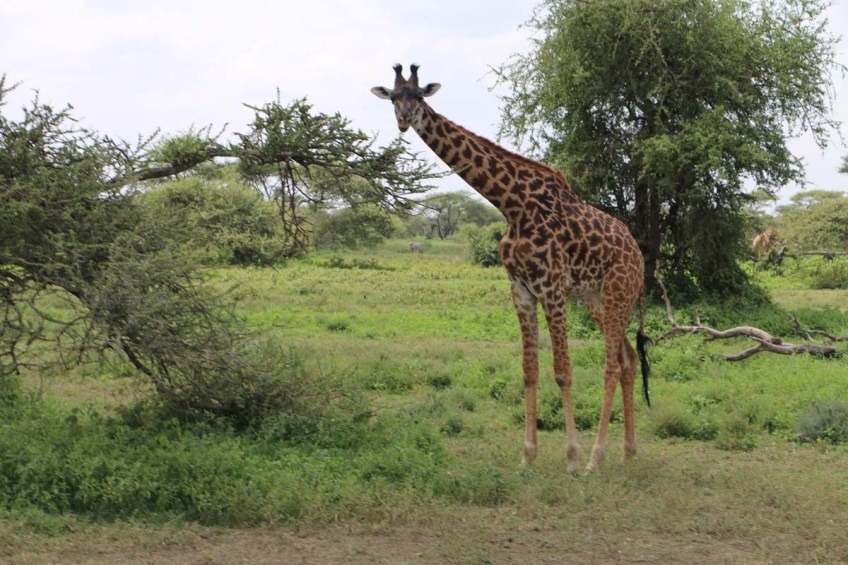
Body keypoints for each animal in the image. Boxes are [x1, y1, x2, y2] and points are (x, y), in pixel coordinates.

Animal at [372, 64, 650, 472]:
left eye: (419, 96)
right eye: (394, 97)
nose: (404, 120)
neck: (511, 204)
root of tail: (639, 255)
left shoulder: (551, 287)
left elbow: (563, 372)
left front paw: (571, 457)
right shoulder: (521, 289)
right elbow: (529, 371)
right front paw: (527, 455)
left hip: (617, 293)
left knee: (612, 365)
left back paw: (595, 458)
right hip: (596, 300)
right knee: (628, 359)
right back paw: (628, 451)